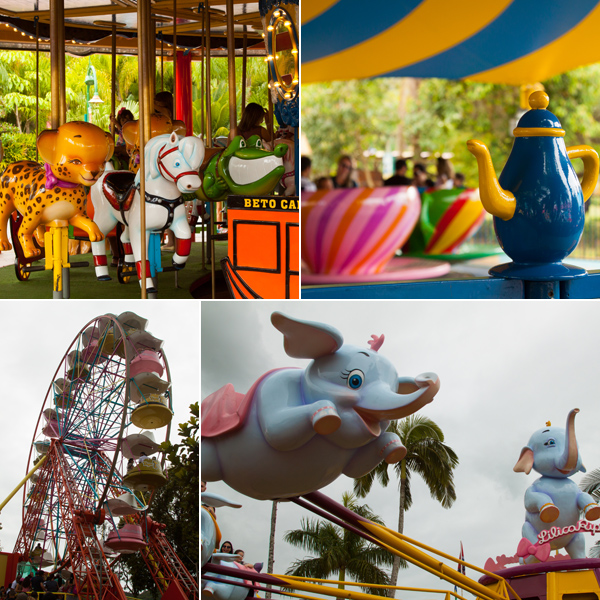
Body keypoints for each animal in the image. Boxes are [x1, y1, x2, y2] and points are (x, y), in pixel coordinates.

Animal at [202, 314, 440, 502]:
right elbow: (277, 432)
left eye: (394, 387)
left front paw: (395, 446)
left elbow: (356, 469)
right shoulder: (274, 386)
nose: (426, 379)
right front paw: (327, 414)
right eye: (355, 380)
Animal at [510, 408, 600, 564]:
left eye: (579, 445)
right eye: (550, 442)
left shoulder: (575, 489)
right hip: (528, 530)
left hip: (576, 536)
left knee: (578, 548)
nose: (576, 410)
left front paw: (594, 510)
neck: (557, 480)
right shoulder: (531, 489)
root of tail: (554, 545)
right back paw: (531, 556)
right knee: (532, 546)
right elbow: (531, 501)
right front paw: (550, 511)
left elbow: (583, 495)